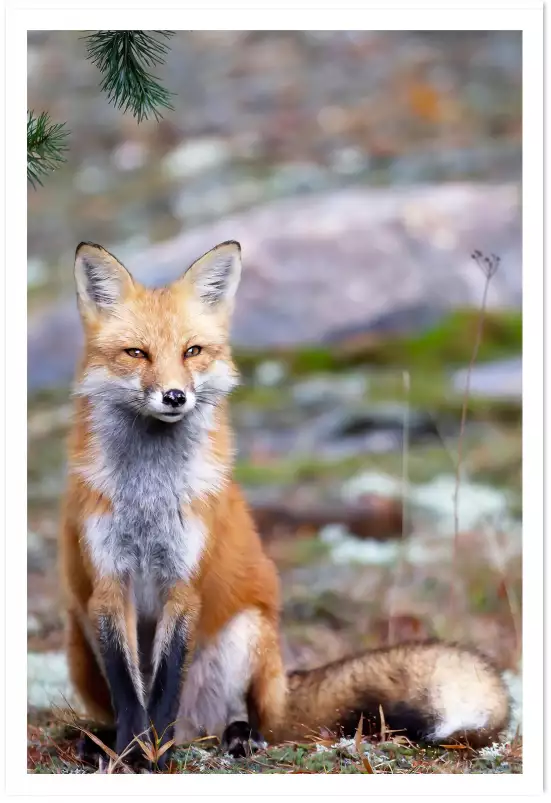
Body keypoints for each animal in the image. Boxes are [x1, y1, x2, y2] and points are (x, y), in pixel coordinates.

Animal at [59, 242, 508, 768]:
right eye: (137, 353)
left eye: (192, 351)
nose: (174, 396)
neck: (149, 497)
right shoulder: (109, 585)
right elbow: (132, 694)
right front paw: (130, 753)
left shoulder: (184, 585)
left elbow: (164, 687)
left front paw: (155, 756)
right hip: (80, 640)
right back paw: (99, 741)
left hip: (248, 635)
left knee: (246, 721)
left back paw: (236, 738)